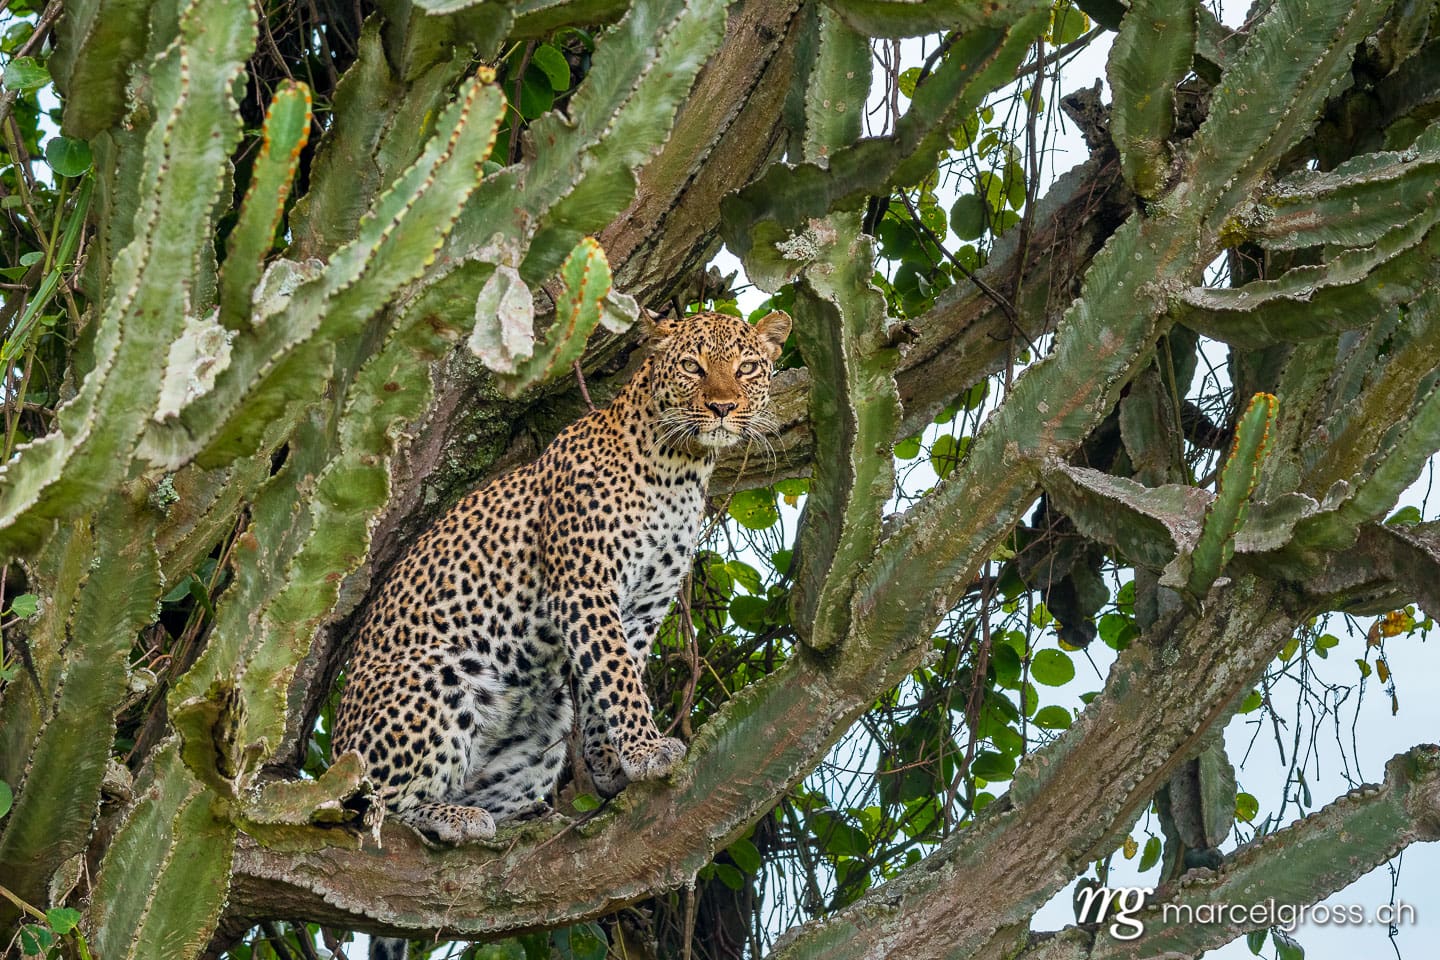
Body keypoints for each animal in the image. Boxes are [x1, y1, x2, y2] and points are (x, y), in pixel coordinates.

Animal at [332, 310, 790, 960]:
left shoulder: (644, 606)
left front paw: (614, 762)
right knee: (375, 807)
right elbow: (617, 675)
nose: (723, 407)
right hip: (434, 680)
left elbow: (614, 677)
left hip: (541, 737)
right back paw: (449, 817)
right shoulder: (584, 586)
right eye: (693, 366)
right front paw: (650, 750)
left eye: (747, 367)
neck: (681, 467)